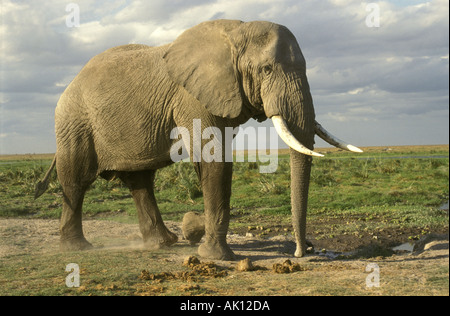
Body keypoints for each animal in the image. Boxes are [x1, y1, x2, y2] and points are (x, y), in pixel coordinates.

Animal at [34, 20, 362, 262]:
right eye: (266, 69)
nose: (301, 252)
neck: (236, 32)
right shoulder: (191, 97)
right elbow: (213, 160)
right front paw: (213, 253)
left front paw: (195, 231)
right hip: (74, 122)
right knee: (75, 180)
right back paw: (77, 248)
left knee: (140, 182)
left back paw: (163, 243)